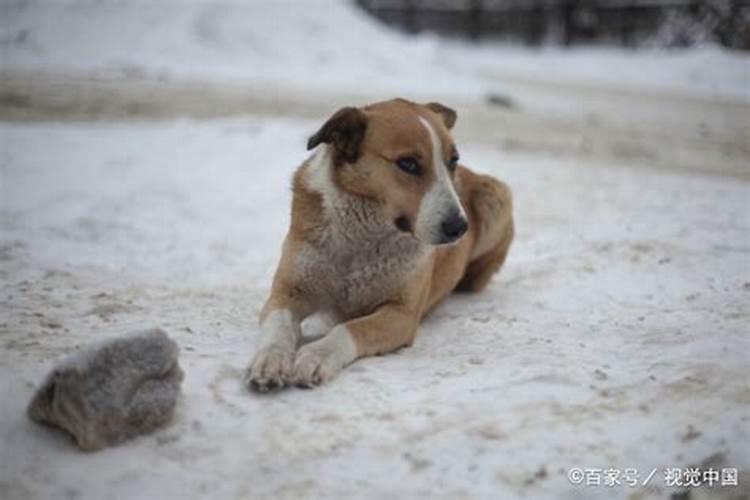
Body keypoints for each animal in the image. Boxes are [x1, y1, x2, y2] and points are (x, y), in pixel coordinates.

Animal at [244, 97, 516, 390]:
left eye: (452, 161)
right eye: (408, 164)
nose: (460, 228)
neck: (360, 240)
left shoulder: (401, 314)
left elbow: (350, 328)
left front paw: (315, 356)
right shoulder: (287, 293)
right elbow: (278, 327)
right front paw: (270, 360)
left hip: (496, 195)